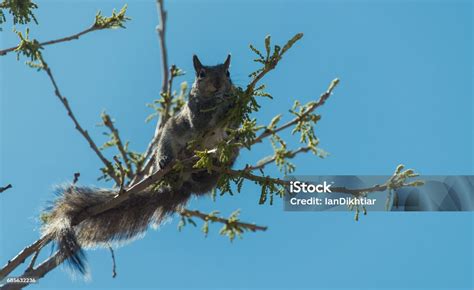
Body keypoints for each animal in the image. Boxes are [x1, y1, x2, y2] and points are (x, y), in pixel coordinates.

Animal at [40, 54, 239, 274]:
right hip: (169, 134)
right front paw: (222, 101)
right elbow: (202, 118)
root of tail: (184, 185)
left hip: (229, 154)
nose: (218, 84)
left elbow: (233, 123)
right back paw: (167, 162)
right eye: (201, 74)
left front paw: (233, 98)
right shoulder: (194, 113)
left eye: (228, 72)